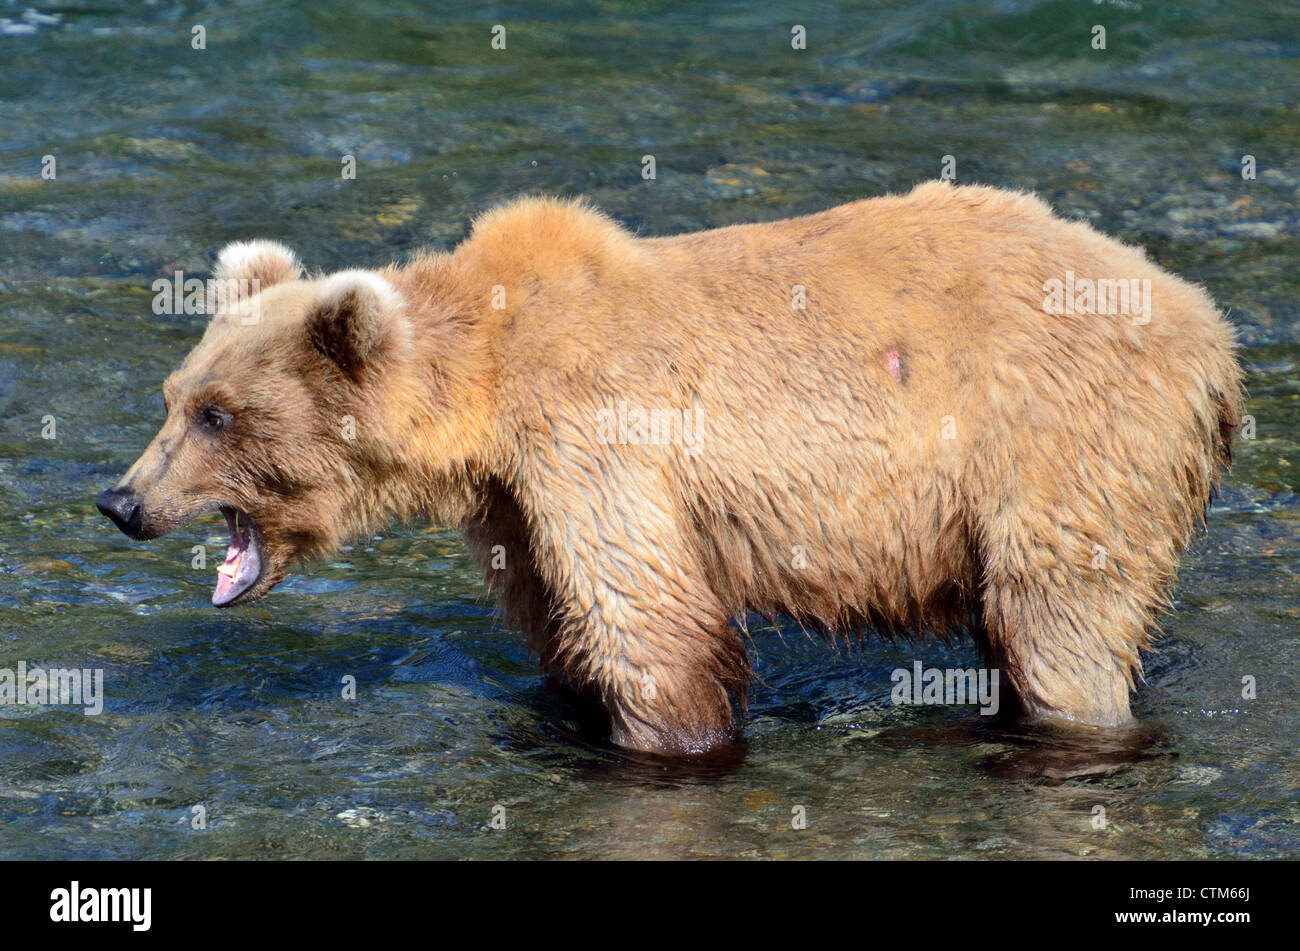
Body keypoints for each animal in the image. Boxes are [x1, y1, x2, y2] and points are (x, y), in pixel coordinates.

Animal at [98, 181, 1237, 753]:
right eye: (173, 396)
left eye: (218, 415)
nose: (120, 500)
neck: (487, 386)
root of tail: (1209, 331)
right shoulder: (516, 500)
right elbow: (561, 622)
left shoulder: (594, 440)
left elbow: (650, 626)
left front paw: (670, 741)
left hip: (1062, 447)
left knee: (1059, 624)